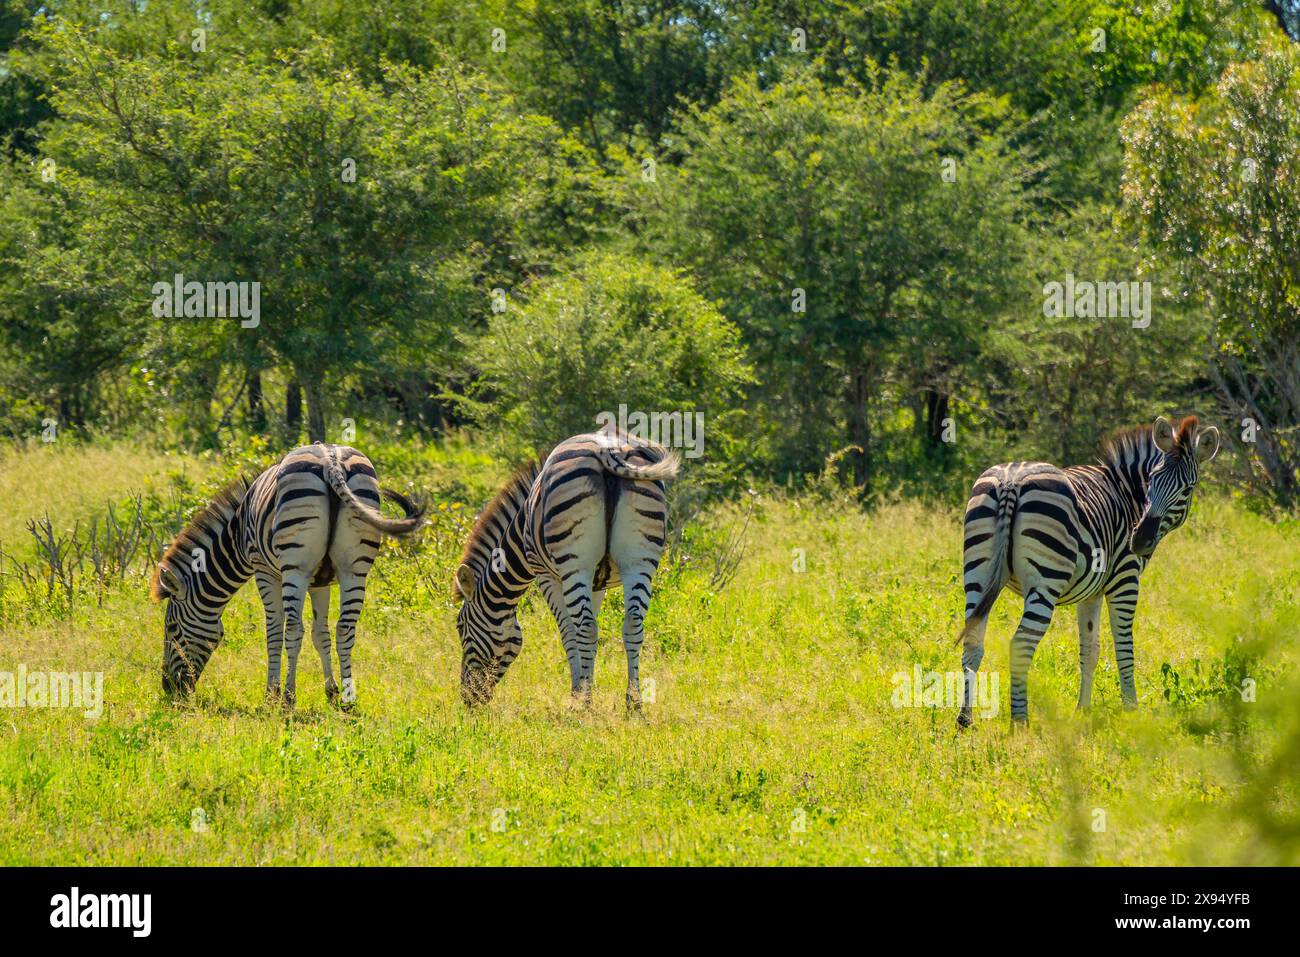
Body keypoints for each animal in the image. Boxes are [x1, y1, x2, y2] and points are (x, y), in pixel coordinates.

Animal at [151, 443, 424, 706]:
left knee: (293, 629)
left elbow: (274, 631)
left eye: (172, 628)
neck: (236, 535)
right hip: (354, 567)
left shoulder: (264, 570)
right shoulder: (320, 582)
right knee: (345, 628)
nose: (169, 689)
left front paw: (271, 694)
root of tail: (332, 462)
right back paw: (348, 701)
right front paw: (331, 692)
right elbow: (321, 633)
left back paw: (289, 698)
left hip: (296, 565)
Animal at [452, 430, 679, 709]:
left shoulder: (546, 575)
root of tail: (609, 450)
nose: (468, 698)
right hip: (640, 561)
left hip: (574, 562)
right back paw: (634, 705)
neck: (520, 531)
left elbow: (569, 633)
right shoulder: (598, 582)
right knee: (633, 624)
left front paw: (578, 692)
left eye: (460, 626)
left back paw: (586, 706)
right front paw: (586, 684)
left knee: (585, 627)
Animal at [957, 416, 1219, 726]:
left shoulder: (1091, 592)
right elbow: (1124, 649)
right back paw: (1020, 721)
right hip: (1045, 581)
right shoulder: (1124, 580)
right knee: (1020, 646)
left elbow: (1090, 651)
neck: (1127, 491)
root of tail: (1011, 481)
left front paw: (1082, 709)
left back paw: (965, 719)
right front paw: (1131, 711)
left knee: (972, 642)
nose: (1139, 540)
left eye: (1187, 489)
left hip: (977, 572)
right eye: (1153, 480)